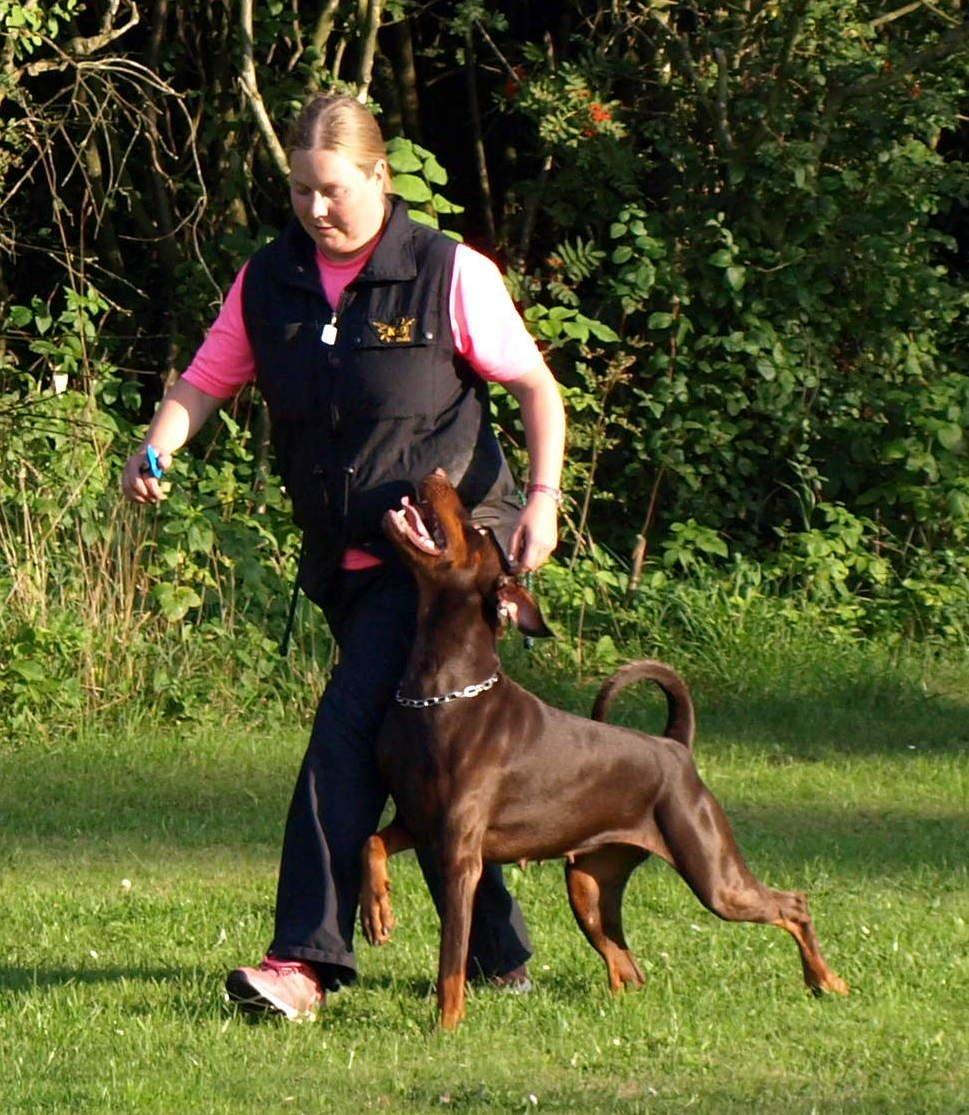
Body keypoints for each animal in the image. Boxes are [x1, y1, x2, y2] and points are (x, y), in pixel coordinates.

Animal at [356, 468, 847, 1025]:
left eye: (478, 531)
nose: (438, 474)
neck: (440, 687)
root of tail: (675, 749)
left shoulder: (461, 853)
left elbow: (451, 959)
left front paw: (447, 1026)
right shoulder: (418, 820)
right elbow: (369, 842)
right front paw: (376, 913)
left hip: (713, 873)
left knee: (792, 905)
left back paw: (827, 981)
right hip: (589, 883)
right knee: (629, 964)